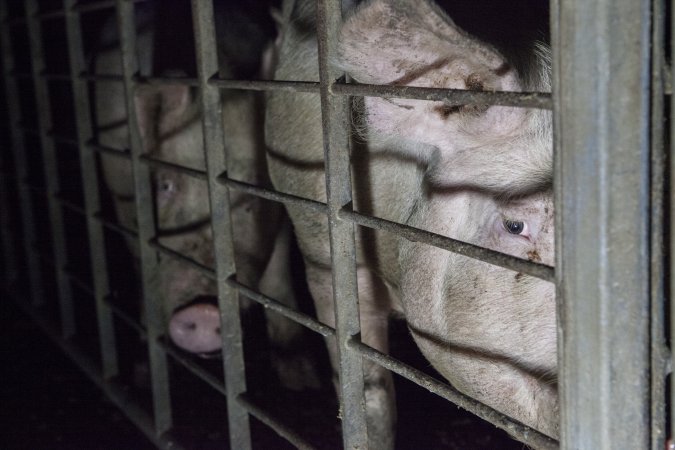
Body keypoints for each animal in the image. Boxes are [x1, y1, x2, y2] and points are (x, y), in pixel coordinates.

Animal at [93, 2, 320, 390]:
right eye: (165, 185)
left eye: (249, 194)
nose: (202, 310)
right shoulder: (123, 190)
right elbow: (143, 263)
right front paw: (144, 376)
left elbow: (277, 276)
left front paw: (302, 380)